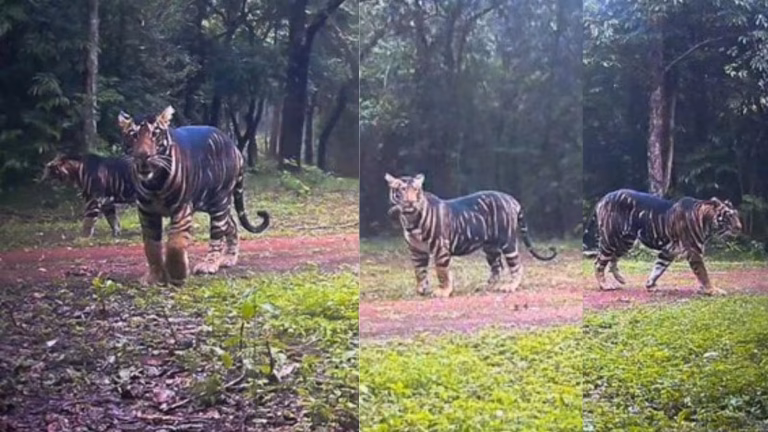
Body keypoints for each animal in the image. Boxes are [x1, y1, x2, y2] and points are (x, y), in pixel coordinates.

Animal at [117, 105, 270, 287]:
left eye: (155, 134)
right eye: (133, 135)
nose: (143, 155)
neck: (154, 183)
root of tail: (235, 148)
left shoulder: (182, 208)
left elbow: (175, 243)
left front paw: (178, 274)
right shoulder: (146, 211)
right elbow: (151, 246)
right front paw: (154, 277)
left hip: (219, 202)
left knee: (217, 235)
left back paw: (210, 265)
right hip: (210, 203)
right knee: (231, 225)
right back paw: (228, 258)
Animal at [385, 173, 557, 297]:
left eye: (415, 190)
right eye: (401, 190)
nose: (410, 202)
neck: (410, 219)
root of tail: (511, 199)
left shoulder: (440, 248)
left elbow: (442, 271)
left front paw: (443, 291)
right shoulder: (417, 251)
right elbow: (419, 272)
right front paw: (422, 290)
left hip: (507, 242)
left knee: (516, 265)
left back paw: (509, 286)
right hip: (490, 247)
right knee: (497, 267)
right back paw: (487, 286)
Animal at [583, 189, 742, 295]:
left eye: (736, 215)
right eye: (729, 216)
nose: (740, 227)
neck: (707, 222)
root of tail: (603, 198)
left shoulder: (668, 251)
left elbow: (658, 268)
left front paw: (650, 285)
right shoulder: (693, 251)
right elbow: (703, 273)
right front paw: (712, 290)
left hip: (625, 241)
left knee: (613, 259)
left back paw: (621, 279)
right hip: (610, 239)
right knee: (599, 262)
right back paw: (605, 285)